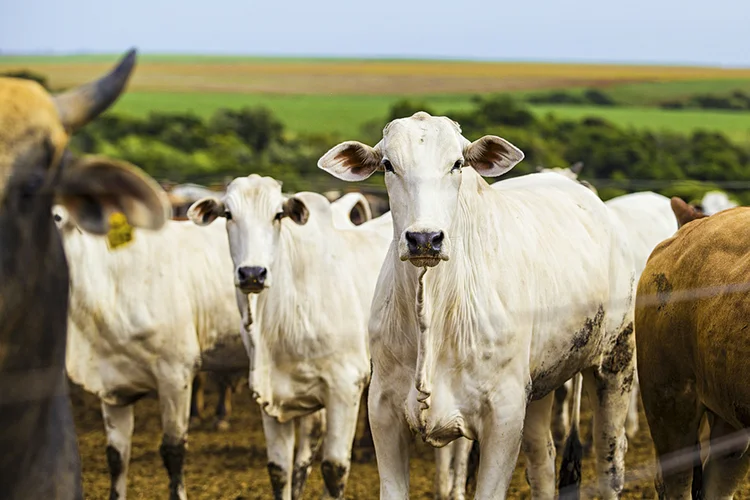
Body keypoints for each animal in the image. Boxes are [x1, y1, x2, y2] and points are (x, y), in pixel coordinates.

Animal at [188, 176, 394, 500]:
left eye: (278, 215)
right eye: (228, 214)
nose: (252, 273)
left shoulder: (344, 388)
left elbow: (334, 470)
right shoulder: (271, 395)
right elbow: (280, 469)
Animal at [320, 111, 636, 498]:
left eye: (457, 163)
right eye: (388, 165)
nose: (424, 238)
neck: (434, 311)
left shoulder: (504, 416)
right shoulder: (383, 411)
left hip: (615, 362)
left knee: (610, 462)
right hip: (539, 386)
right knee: (543, 461)